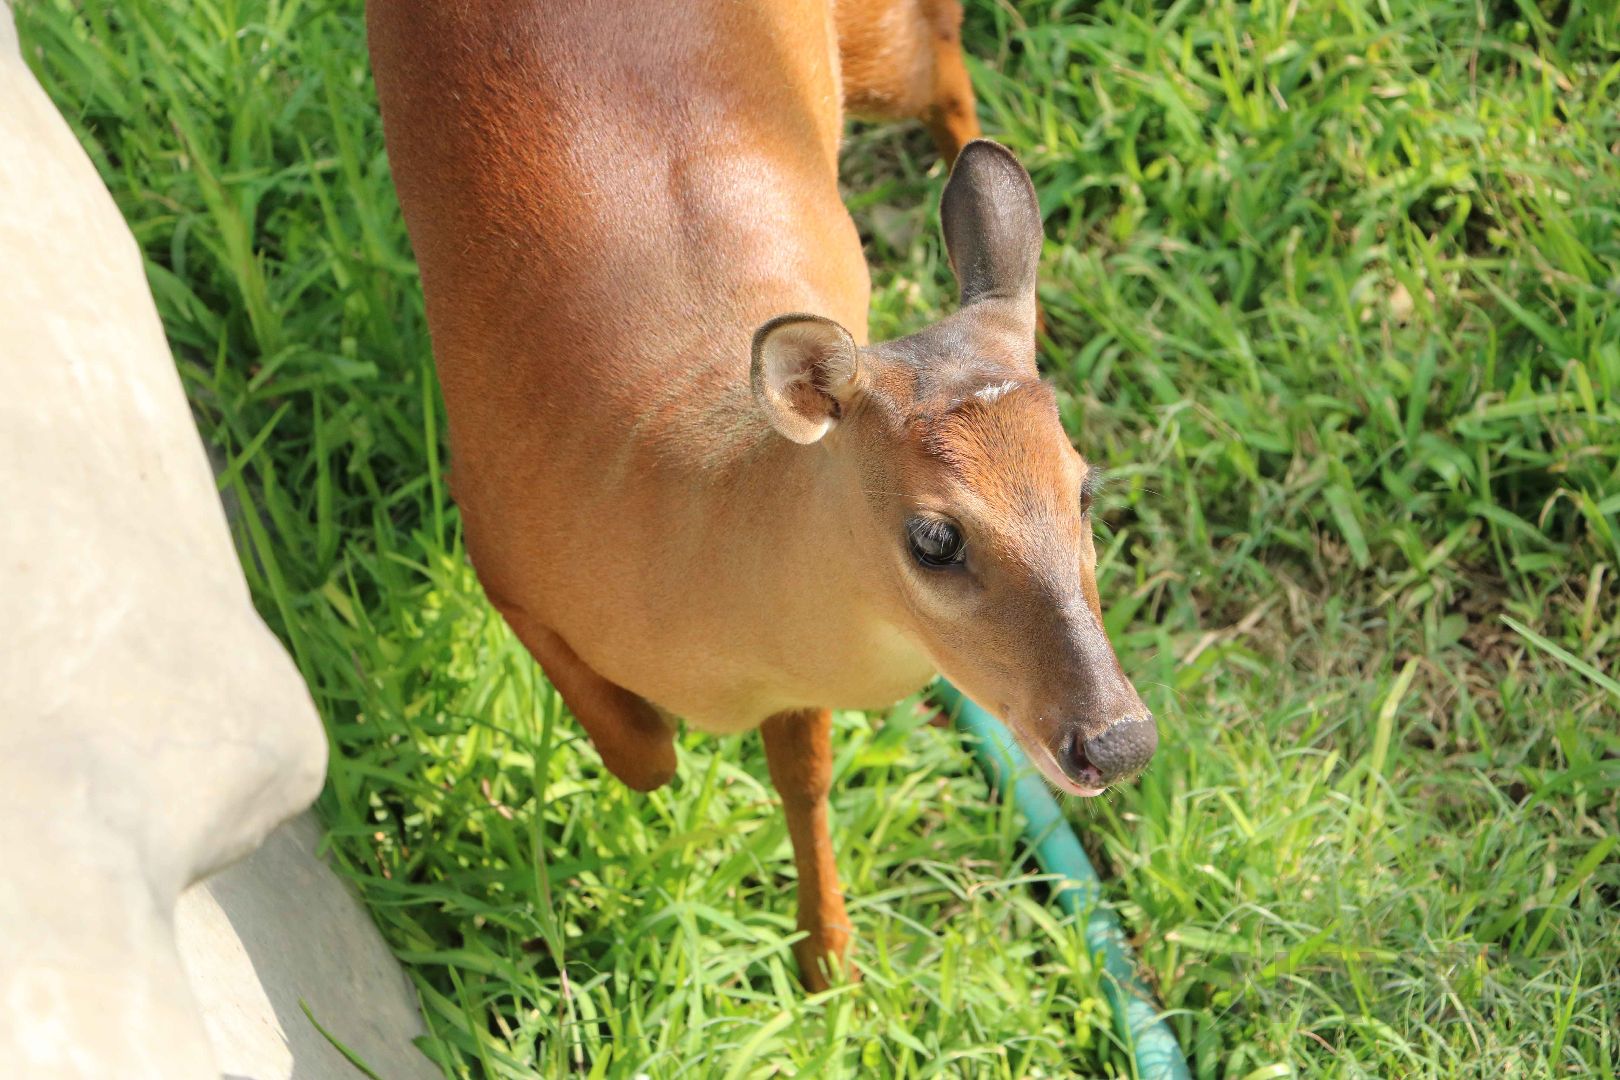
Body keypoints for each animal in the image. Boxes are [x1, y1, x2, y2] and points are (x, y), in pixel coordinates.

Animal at [366, 0, 1159, 991]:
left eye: (1084, 489)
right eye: (935, 538)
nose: (1119, 740)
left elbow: (797, 778)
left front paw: (827, 962)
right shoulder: (498, 544)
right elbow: (650, 758)